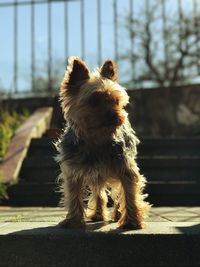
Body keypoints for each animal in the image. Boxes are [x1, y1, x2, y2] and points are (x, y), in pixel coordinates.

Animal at [55, 57, 149, 230]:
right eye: (93, 101)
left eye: (116, 101)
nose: (115, 116)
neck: (97, 139)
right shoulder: (73, 171)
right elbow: (74, 195)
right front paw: (73, 221)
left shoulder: (125, 167)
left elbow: (129, 194)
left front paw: (132, 222)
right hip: (95, 173)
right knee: (99, 192)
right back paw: (98, 214)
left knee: (117, 193)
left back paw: (118, 214)